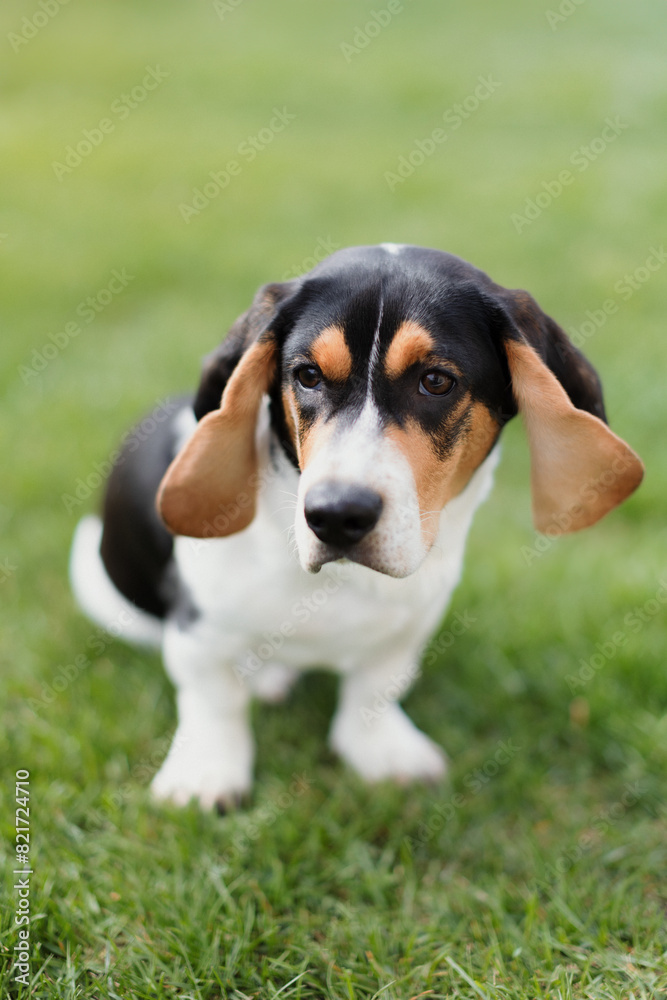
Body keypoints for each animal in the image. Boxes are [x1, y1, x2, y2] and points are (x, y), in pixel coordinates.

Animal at [70, 246, 644, 808]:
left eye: (436, 381)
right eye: (308, 376)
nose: (336, 515)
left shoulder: (414, 620)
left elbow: (375, 688)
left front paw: (381, 750)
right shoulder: (197, 629)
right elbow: (214, 699)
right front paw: (205, 774)